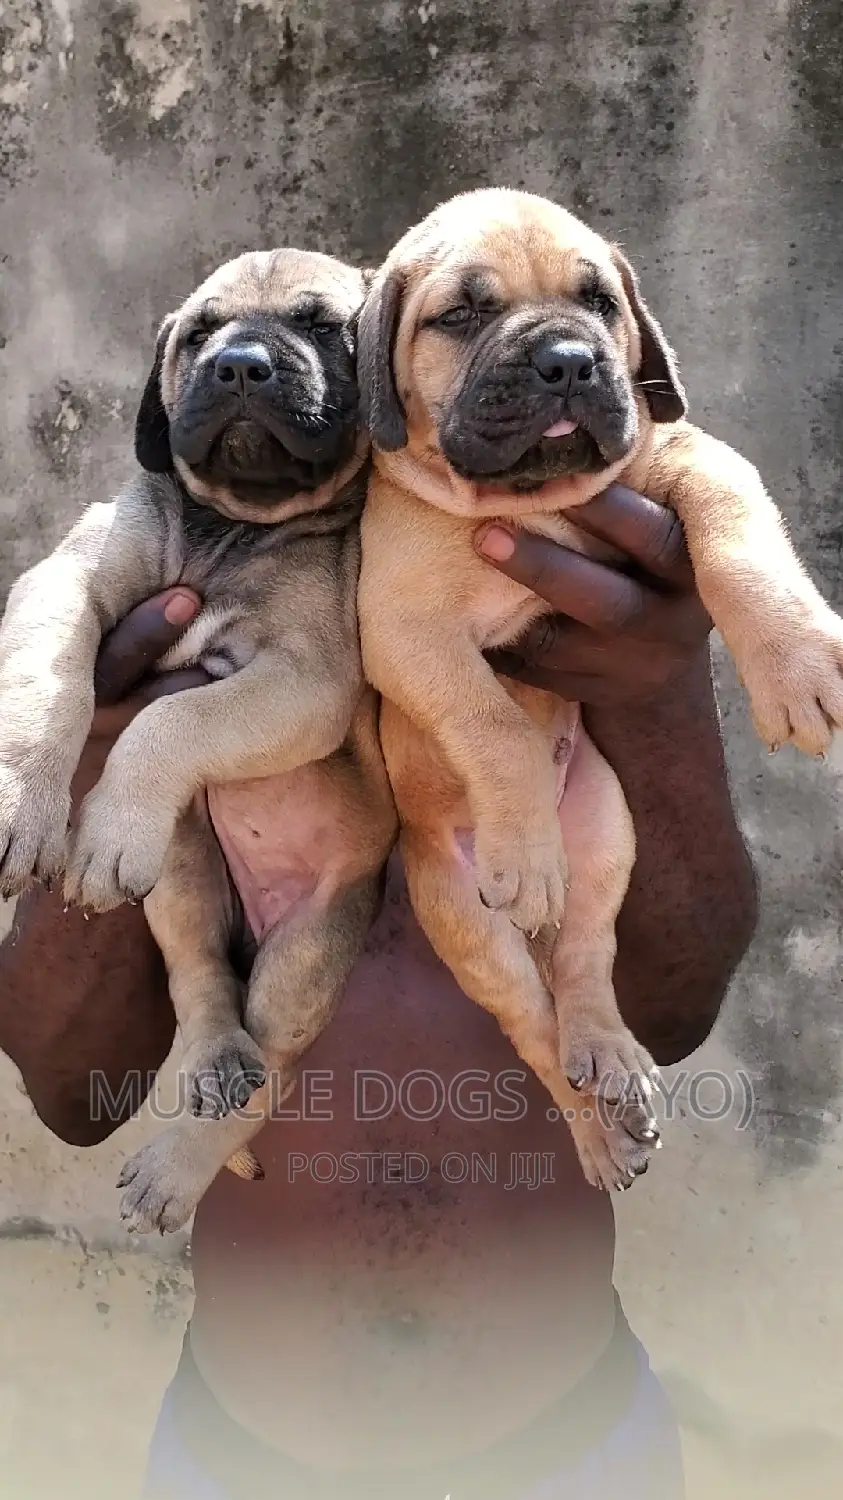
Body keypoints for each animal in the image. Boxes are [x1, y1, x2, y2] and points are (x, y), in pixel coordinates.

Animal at [0, 249, 396, 1230]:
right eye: (200, 332)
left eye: (322, 325)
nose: (241, 366)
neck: (230, 527)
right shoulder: (68, 580)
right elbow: (46, 681)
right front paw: (21, 801)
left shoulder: (304, 678)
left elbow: (170, 717)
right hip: (180, 880)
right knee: (203, 983)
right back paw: (212, 1053)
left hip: (308, 951)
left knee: (273, 1066)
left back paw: (176, 1168)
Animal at [354, 190, 840, 1194]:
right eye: (459, 315)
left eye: (599, 304)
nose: (568, 359)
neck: (531, 502)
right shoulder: (401, 628)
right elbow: (490, 721)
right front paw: (523, 843)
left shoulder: (693, 460)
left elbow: (739, 540)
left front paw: (795, 660)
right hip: (467, 922)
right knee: (534, 1028)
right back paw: (595, 1127)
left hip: (610, 830)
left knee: (583, 960)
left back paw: (608, 1049)